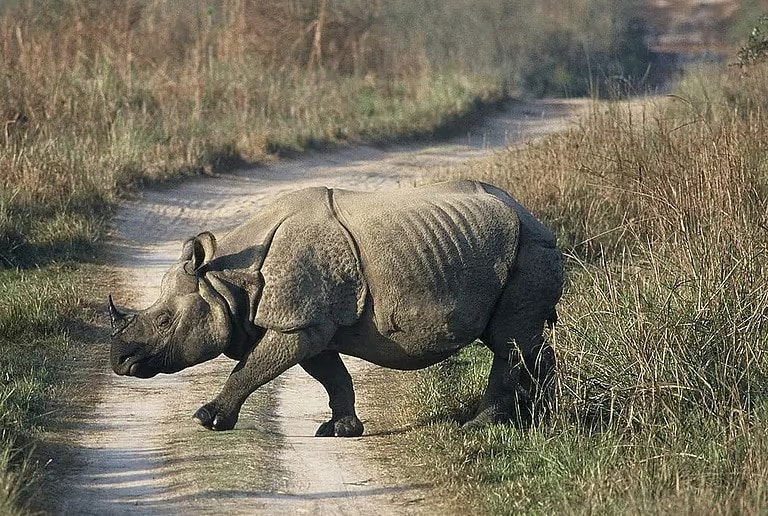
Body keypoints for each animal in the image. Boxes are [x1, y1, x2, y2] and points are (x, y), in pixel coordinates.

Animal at [109, 180, 563, 437]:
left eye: (165, 321)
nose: (119, 361)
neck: (228, 278)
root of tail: (532, 215)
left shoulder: (298, 323)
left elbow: (248, 368)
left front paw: (207, 419)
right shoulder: (311, 323)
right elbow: (332, 376)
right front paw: (339, 430)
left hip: (530, 248)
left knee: (510, 340)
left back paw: (479, 426)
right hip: (511, 245)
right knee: (521, 341)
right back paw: (546, 415)